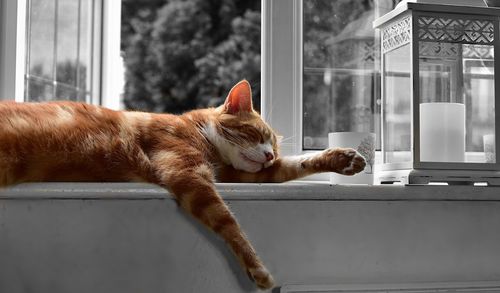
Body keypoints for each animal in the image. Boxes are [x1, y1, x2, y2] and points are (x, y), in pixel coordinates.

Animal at [0, 80, 368, 290]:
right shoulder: (189, 175)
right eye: (256, 134)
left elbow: (292, 166)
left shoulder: (239, 173)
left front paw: (344, 160)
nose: (266, 155)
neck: (203, 137)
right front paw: (257, 270)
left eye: (273, 147)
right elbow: (230, 223)